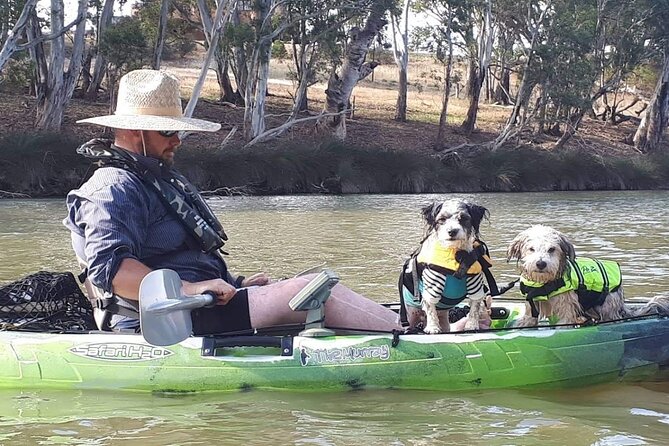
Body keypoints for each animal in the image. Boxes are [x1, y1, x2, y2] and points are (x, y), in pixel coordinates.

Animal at [402, 199, 490, 334]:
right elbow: (430, 308)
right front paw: (433, 328)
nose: (452, 231)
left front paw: (472, 325)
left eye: (463, 218)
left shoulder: (475, 283)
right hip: (411, 313)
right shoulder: (432, 284)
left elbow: (474, 307)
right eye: (442, 219)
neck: (456, 254)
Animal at [506, 226, 668, 324]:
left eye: (551, 249)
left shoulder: (566, 308)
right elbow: (527, 321)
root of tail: (622, 305)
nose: (541, 263)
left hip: (606, 306)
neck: (544, 283)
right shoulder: (532, 306)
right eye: (531, 249)